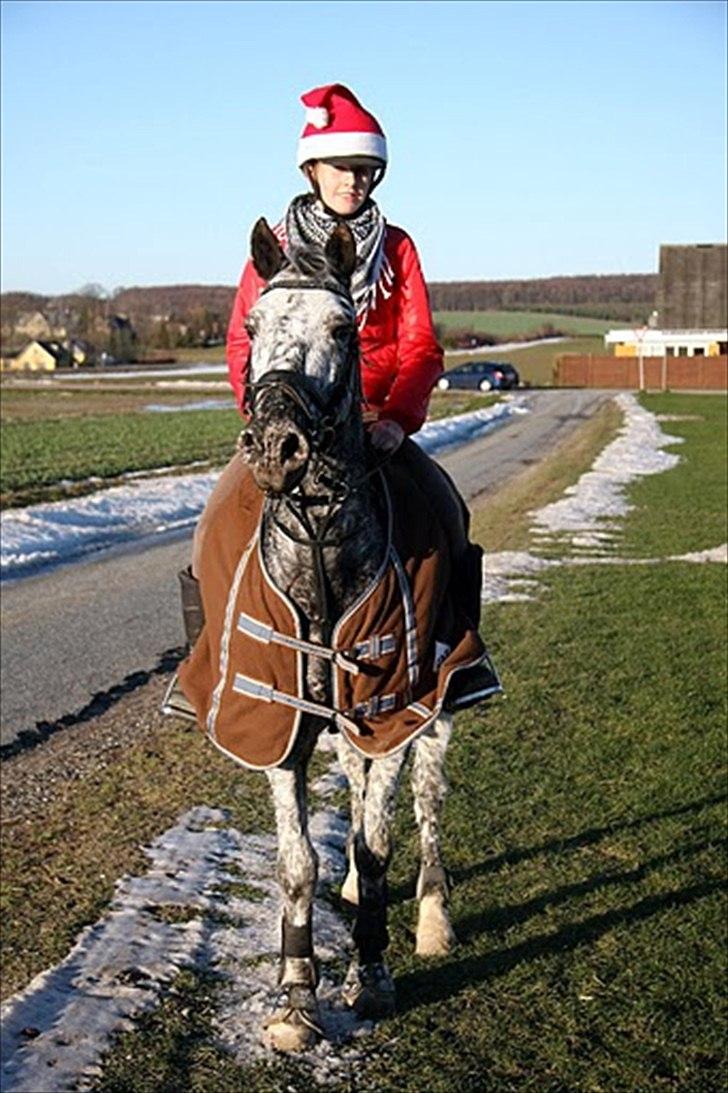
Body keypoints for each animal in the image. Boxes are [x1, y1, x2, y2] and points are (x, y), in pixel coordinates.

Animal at [181, 219, 498, 1049]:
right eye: (254, 325)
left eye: (343, 328)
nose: (277, 444)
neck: (321, 550)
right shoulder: (279, 722)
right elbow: (300, 864)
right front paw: (296, 997)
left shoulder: (393, 710)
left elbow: (379, 841)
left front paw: (373, 974)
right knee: (356, 789)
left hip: (435, 714)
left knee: (426, 803)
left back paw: (432, 917)